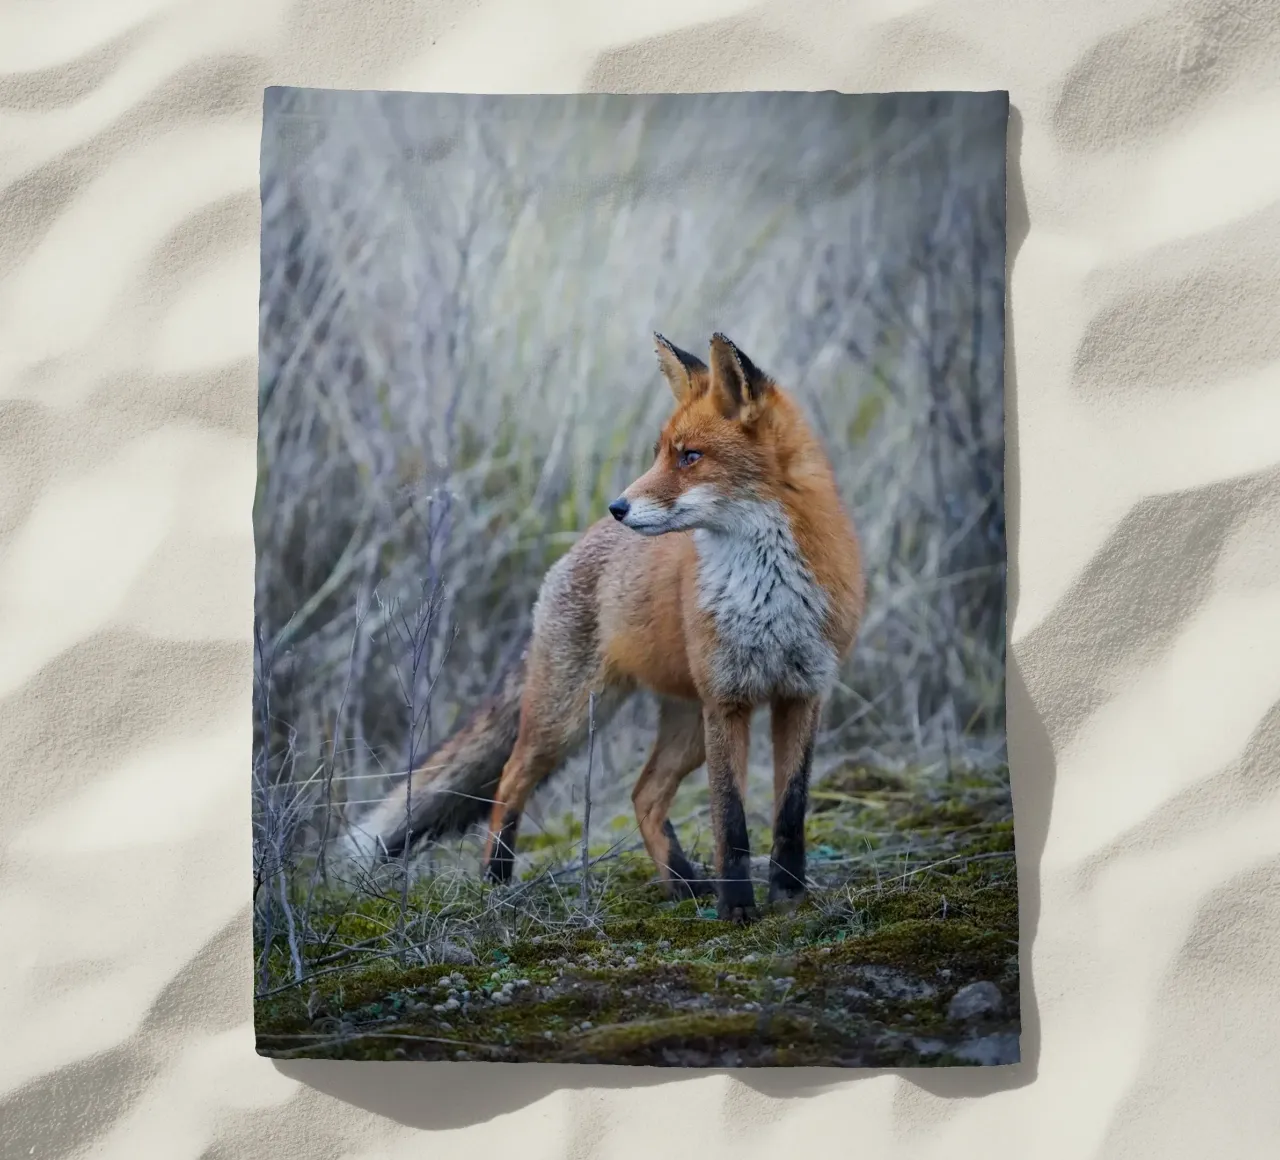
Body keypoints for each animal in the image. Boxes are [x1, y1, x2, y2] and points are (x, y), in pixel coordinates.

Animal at [348, 333, 864, 922]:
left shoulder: (802, 693)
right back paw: (496, 880)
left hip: (686, 727)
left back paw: (683, 884)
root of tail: (577, 546)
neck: (767, 592)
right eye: (661, 452)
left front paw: (790, 896)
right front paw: (737, 910)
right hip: (570, 718)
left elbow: (790, 813)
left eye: (690, 456)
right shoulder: (728, 700)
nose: (619, 505)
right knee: (511, 778)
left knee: (643, 795)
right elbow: (730, 822)